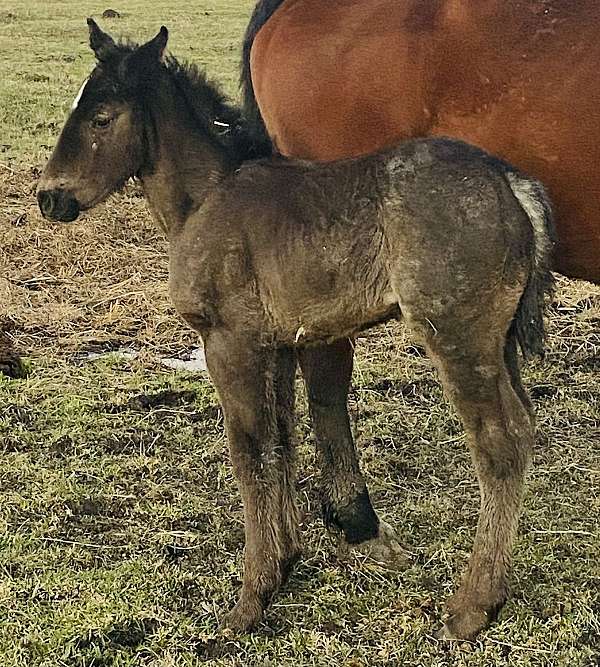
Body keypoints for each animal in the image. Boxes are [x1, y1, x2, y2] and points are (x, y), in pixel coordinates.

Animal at [36, 22, 552, 640]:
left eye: (101, 119)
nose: (49, 197)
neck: (206, 198)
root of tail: (511, 183)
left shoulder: (228, 343)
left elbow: (249, 450)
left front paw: (251, 598)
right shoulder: (277, 346)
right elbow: (279, 441)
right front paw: (284, 565)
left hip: (457, 336)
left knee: (499, 442)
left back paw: (474, 606)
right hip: (499, 344)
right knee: (523, 426)